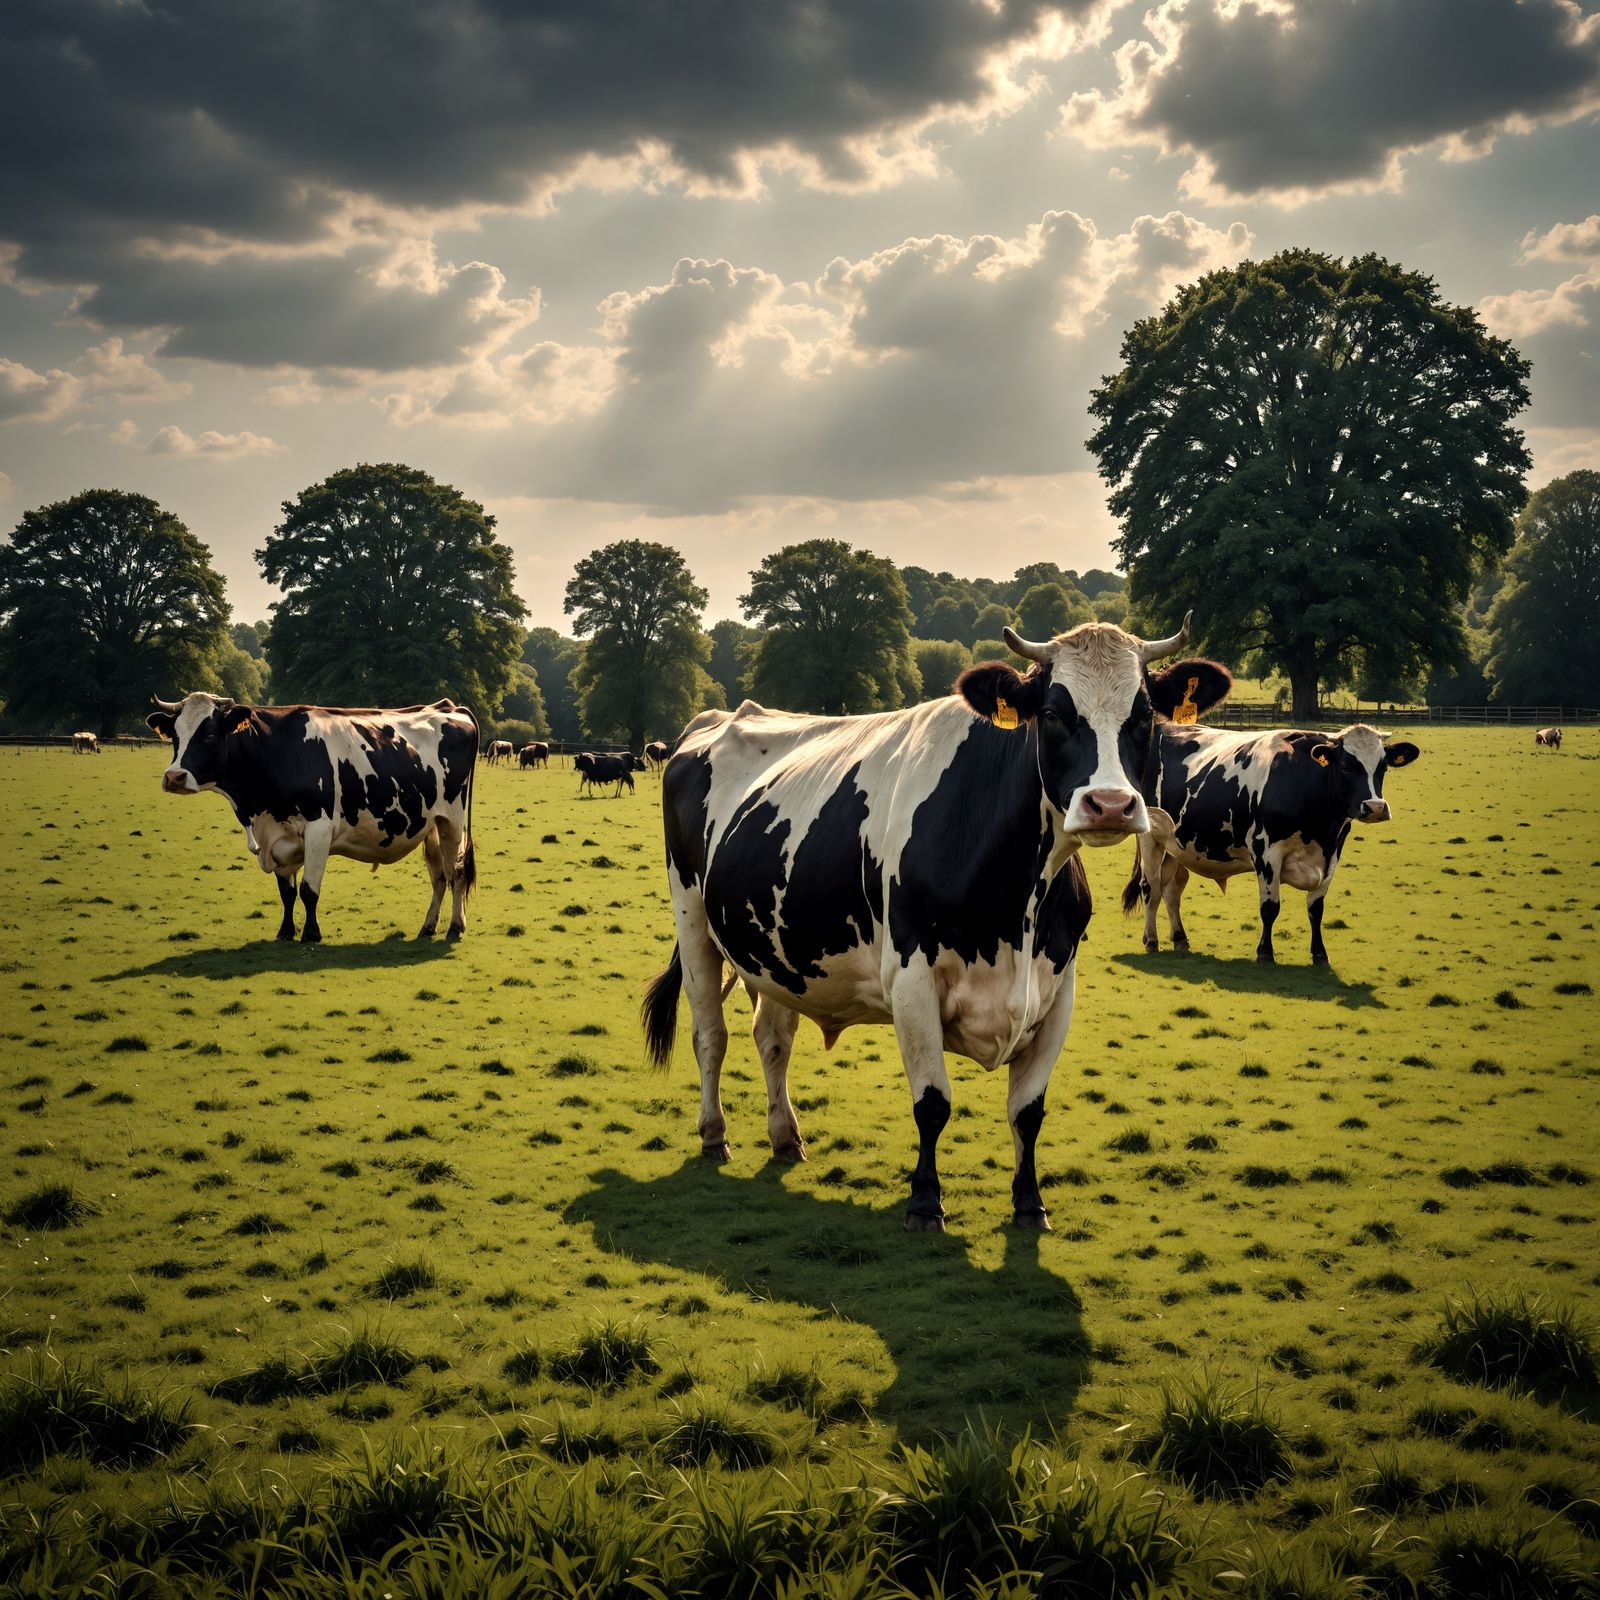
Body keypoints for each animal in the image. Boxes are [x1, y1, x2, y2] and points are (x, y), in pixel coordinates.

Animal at [145, 692, 478, 943]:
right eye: (175, 736)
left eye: (210, 734)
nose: (174, 776)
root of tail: (448, 708)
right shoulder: (279, 837)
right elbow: (287, 892)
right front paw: (285, 932)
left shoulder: (319, 829)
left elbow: (308, 889)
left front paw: (311, 934)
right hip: (431, 825)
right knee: (439, 876)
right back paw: (428, 927)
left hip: (452, 820)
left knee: (456, 872)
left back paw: (455, 928)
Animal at [642, 615, 1229, 1232]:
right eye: (1052, 713)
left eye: (1144, 715)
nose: (1111, 805)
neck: (1015, 908)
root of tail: (713, 721)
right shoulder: (911, 979)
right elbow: (932, 1102)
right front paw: (925, 1202)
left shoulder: (1058, 987)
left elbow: (1028, 1110)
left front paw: (1030, 1203)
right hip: (692, 919)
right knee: (711, 1035)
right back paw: (714, 1134)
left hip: (776, 954)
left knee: (772, 1038)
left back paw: (785, 1137)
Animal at [1125, 722, 1419, 965]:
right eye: (1347, 766)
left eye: (1383, 767)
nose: (1375, 807)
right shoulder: (1266, 851)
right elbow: (1270, 907)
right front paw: (1265, 952)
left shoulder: (1332, 853)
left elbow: (1316, 909)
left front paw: (1320, 954)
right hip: (1150, 838)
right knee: (1151, 887)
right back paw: (1151, 939)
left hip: (1176, 845)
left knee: (1172, 890)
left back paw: (1179, 937)